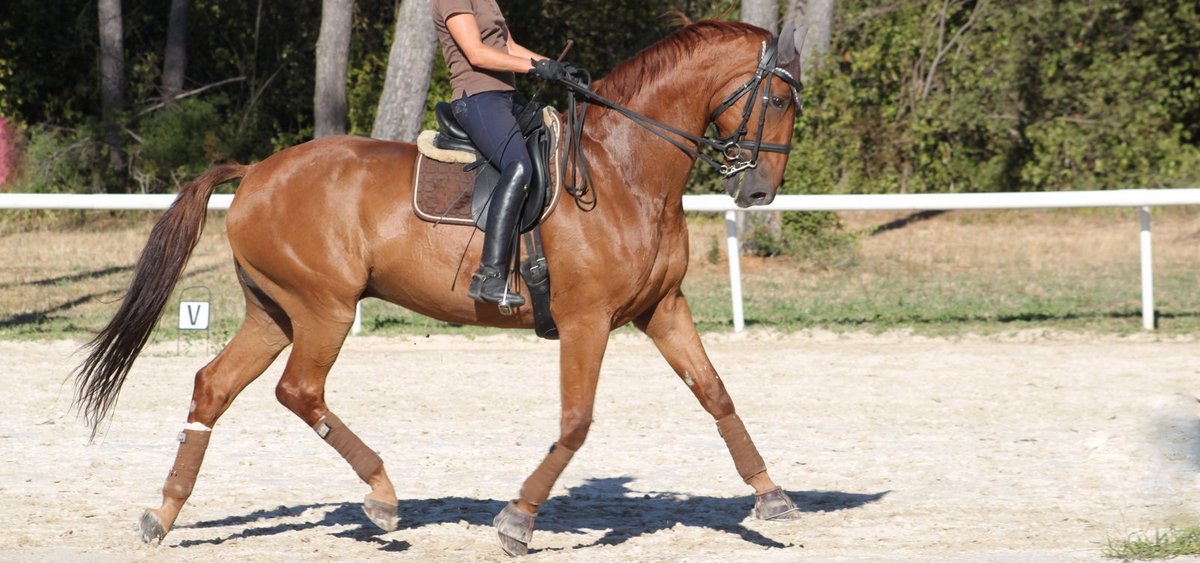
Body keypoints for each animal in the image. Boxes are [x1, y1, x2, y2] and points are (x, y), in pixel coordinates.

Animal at [72, 20, 806, 552]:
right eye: (775, 98)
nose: (759, 192)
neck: (624, 169)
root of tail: (255, 171)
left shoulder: (661, 308)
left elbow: (715, 393)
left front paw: (771, 496)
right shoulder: (587, 319)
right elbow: (575, 423)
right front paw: (517, 519)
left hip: (273, 311)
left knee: (214, 387)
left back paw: (162, 514)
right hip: (323, 308)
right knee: (299, 390)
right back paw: (382, 495)